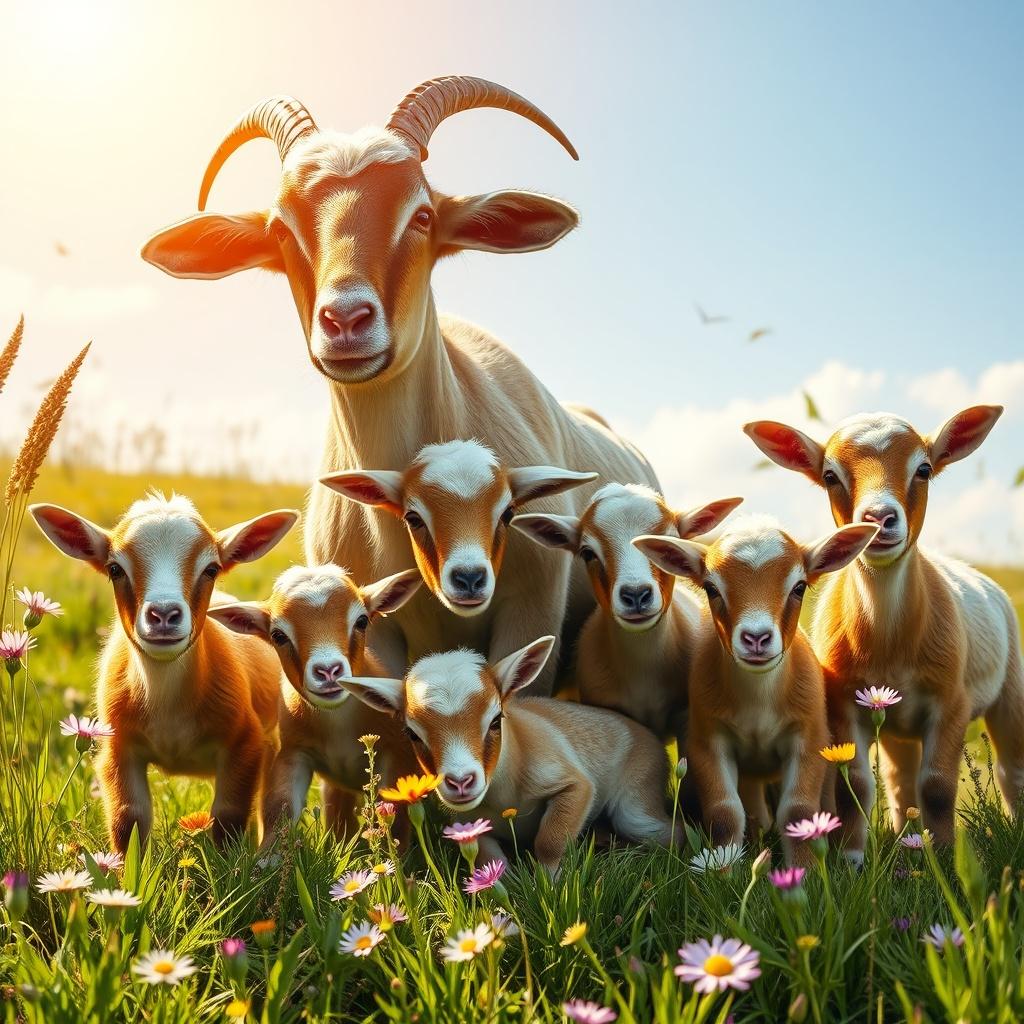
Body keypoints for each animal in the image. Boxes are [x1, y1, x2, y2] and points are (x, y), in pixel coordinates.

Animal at [30, 494, 297, 851]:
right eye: (115, 569)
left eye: (211, 569)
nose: (164, 614)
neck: (169, 709)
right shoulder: (118, 749)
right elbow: (128, 818)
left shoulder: (246, 744)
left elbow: (229, 816)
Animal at [208, 565, 422, 839]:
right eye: (278, 635)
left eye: (362, 621)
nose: (328, 670)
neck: (339, 724)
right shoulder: (293, 751)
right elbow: (279, 808)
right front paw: (268, 853)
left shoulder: (397, 754)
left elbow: (395, 815)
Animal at [339, 637, 679, 874]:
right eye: (412, 734)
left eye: (495, 720)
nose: (461, 782)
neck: (504, 795)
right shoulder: (469, 823)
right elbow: (491, 862)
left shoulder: (575, 785)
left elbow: (549, 841)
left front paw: (548, 884)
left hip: (638, 804)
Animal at [635, 516, 877, 864]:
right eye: (711, 589)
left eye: (799, 587)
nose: (757, 638)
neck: (758, 701)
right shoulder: (707, 741)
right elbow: (724, 812)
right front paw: (722, 866)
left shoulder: (808, 739)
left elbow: (799, 811)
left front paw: (805, 870)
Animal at [745, 407, 1024, 855]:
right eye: (830, 476)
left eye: (924, 469)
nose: (878, 518)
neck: (890, 642)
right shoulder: (844, 704)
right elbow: (855, 786)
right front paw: (853, 857)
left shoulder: (952, 701)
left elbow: (938, 787)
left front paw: (945, 857)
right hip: (897, 724)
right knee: (900, 780)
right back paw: (906, 836)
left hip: (1010, 686)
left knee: (1010, 768)